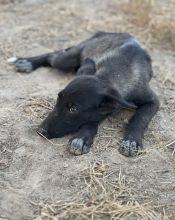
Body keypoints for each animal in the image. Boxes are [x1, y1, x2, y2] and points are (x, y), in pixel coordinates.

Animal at [7, 31, 159, 157]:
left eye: (73, 109)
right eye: (57, 100)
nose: (40, 131)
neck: (111, 75)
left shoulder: (153, 101)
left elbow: (140, 118)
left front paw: (131, 140)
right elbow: (92, 119)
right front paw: (83, 137)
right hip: (68, 59)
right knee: (52, 56)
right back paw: (28, 63)